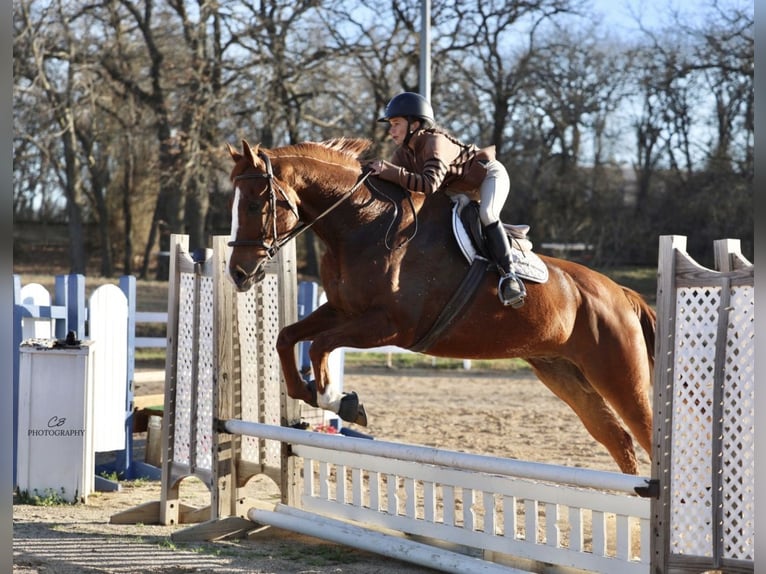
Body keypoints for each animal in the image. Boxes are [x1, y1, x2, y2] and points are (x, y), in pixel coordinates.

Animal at [225, 137, 656, 475]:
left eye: (254, 205)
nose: (238, 274)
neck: (362, 224)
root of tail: (621, 293)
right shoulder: (343, 311)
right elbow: (287, 338)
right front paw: (312, 393)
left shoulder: (390, 326)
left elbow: (318, 346)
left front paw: (339, 401)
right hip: (562, 371)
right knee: (618, 439)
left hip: (618, 373)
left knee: (645, 432)